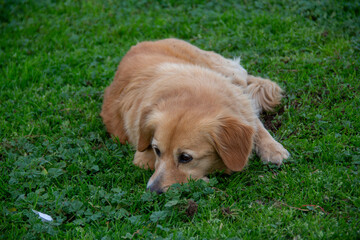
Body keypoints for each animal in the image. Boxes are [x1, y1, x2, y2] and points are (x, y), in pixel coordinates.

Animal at [100, 38, 290, 194]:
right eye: (156, 151)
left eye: (186, 158)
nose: (152, 190)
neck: (193, 95)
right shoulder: (142, 157)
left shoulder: (240, 105)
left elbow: (257, 126)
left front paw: (273, 149)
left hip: (225, 70)